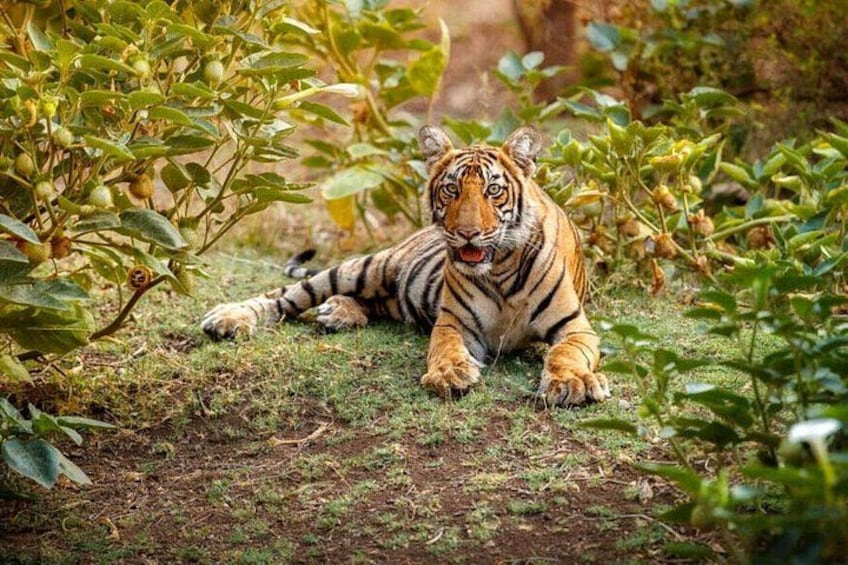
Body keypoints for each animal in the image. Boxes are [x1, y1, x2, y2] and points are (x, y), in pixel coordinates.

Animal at [201, 125, 610, 406]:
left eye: (493, 191)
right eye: (452, 189)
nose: (468, 234)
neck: (498, 269)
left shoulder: (575, 327)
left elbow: (565, 353)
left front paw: (571, 383)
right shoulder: (453, 323)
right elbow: (445, 348)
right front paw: (449, 373)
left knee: (368, 302)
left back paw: (339, 313)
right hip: (367, 267)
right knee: (284, 295)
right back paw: (228, 318)